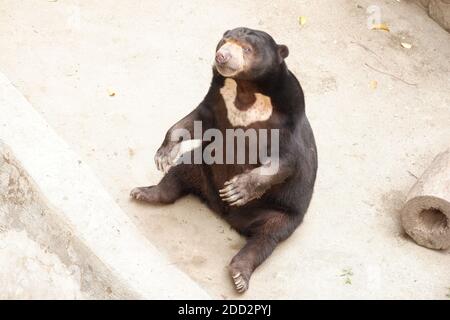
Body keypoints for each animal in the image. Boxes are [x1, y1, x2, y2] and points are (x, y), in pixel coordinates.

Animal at [132, 27, 318, 292]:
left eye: (248, 49)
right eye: (224, 41)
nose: (222, 57)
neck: (245, 88)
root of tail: (224, 213)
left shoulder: (288, 117)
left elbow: (284, 161)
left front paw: (237, 190)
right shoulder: (216, 99)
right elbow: (193, 122)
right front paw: (163, 155)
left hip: (282, 210)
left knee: (267, 236)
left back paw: (240, 275)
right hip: (200, 166)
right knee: (178, 173)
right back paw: (144, 192)